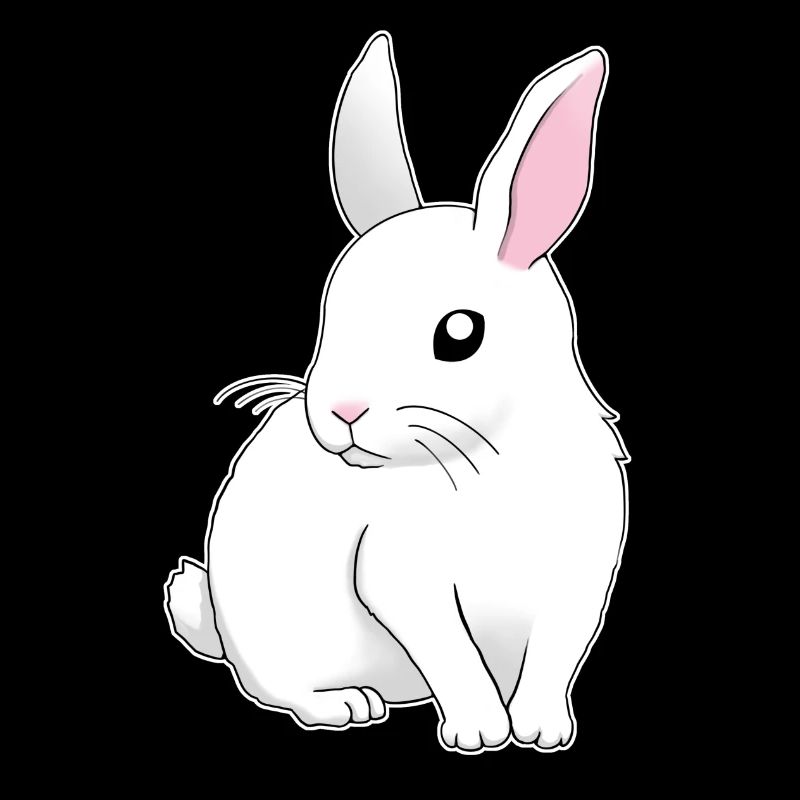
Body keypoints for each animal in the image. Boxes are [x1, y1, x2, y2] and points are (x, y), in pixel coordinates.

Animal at [164, 31, 629, 755]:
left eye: (460, 334)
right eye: (331, 312)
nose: (340, 412)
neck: (488, 458)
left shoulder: (580, 576)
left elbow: (555, 653)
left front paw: (544, 729)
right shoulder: (402, 578)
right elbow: (453, 654)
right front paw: (478, 731)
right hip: (279, 639)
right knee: (282, 690)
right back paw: (347, 705)